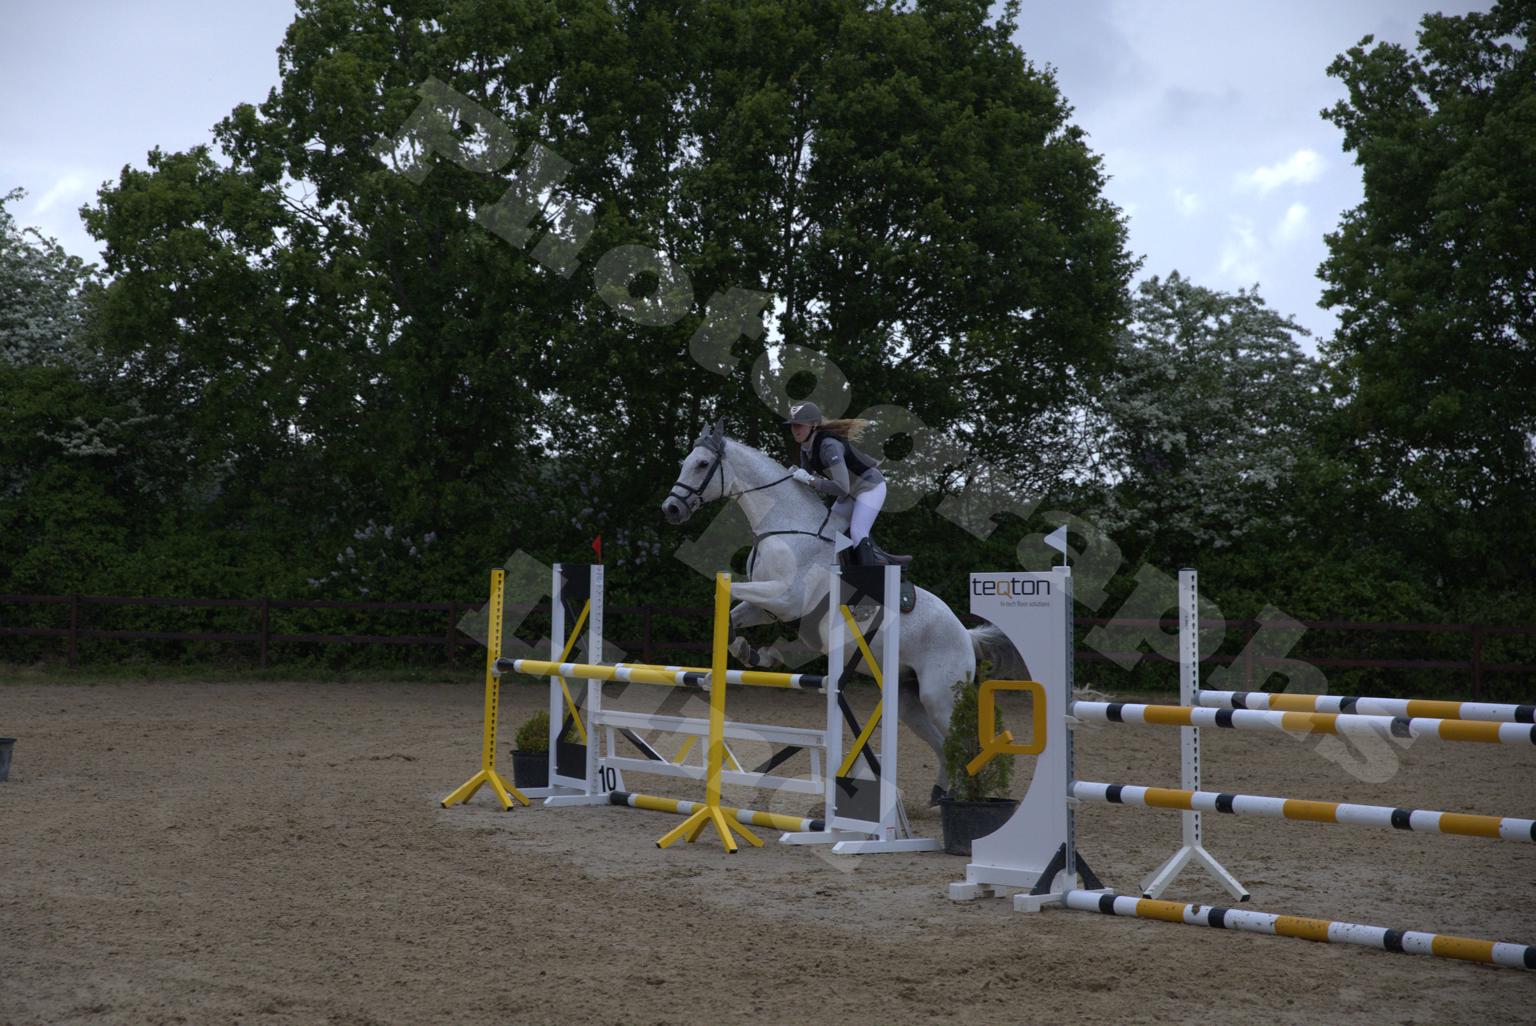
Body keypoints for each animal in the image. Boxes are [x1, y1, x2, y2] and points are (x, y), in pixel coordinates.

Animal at [660, 419, 1026, 801]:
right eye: (685, 462)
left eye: (702, 464)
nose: (670, 509)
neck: (787, 526)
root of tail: (965, 635)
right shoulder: (769, 606)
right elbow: (733, 616)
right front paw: (746, 656)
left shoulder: (786, 598)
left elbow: (725, 592)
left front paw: (756, 654)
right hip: (908, 700)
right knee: (943, 746)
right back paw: (941, 795)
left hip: (939, 695)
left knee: (963, 743)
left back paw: (969, 798)